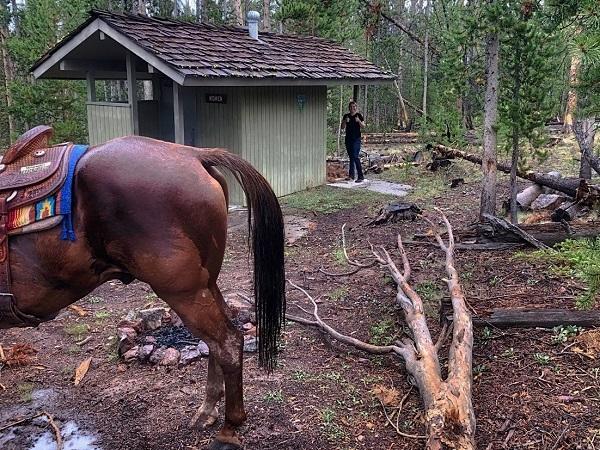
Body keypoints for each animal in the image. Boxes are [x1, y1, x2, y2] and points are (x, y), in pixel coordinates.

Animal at [0, 136, 286, 450]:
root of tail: (194, 154)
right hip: (206, 284)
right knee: (219, 339)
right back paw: (207, 411)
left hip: (183, 291)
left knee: (228, 342)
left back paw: (229, 430)